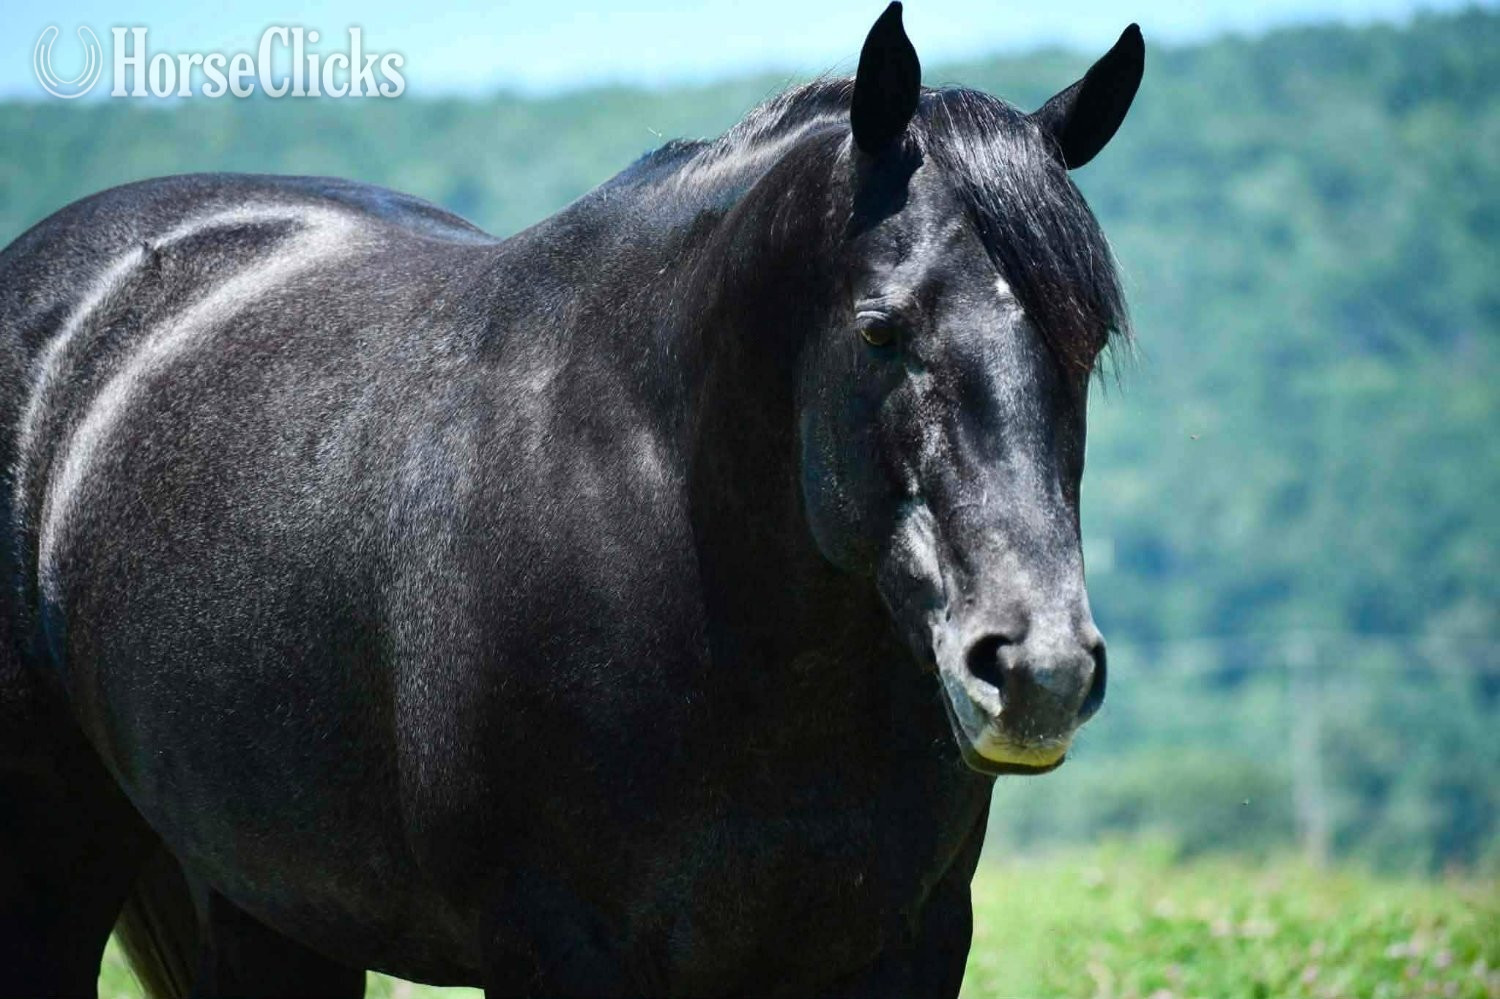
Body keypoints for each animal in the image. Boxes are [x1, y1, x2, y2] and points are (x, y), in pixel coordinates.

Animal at [0, 5, 1142, 995]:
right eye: (879, 327)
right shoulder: (555, 948)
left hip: (266, 901)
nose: (1037, 670)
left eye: (1086, 338)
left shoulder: (907, 944)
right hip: (56, 867)